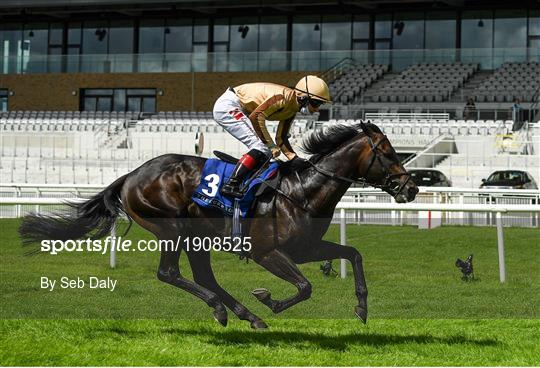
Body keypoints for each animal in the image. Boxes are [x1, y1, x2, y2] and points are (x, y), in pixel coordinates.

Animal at [20, 122, 418, 330]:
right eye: (389, 153)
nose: (411, 188)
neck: (301, 191)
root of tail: (131, 174)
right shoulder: (267, 252)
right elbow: (304, 288)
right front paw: (269, 299)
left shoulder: (304, 249)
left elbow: (353, 253)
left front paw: (362, 308)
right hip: (172, 230)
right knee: (170, 274)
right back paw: (226, 309)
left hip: (198, 237)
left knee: (203, 277)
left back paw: (246, 315)